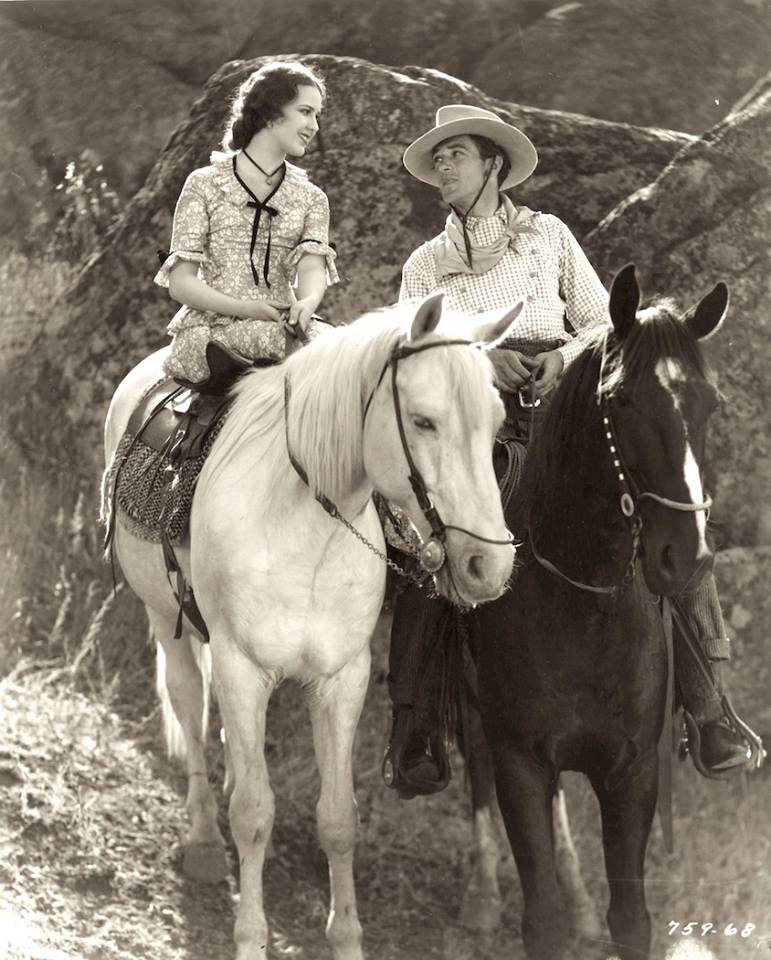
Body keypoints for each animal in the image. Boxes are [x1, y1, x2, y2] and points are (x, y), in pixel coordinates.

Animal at [102, 294, 524, 960]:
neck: (303, 518)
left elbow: (338, 818)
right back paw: (204, 840)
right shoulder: (242, 667)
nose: (488, 565)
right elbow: (253, 812)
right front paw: (250, 936)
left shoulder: (341, 679)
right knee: (191, 707)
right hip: (167, 618)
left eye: (495, 419)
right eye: (424, 421)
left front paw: (346, 935)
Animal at [470, 264, 728, 960]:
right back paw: (481, 893)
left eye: (709, 404)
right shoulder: (519, 762)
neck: (581, 603)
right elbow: (542, 920)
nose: (685, 558)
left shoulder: (632, 772)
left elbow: (631, 918)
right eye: (622, 401)